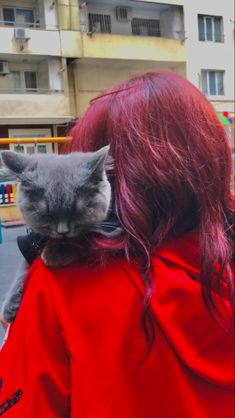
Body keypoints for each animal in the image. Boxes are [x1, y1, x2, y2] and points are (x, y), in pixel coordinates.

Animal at [0, 147, 115, 324]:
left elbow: (87, 242)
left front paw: (53, 252)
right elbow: (22, 269)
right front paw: (10, 304)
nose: (63, 232)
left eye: (75, 213)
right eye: (48, 215)